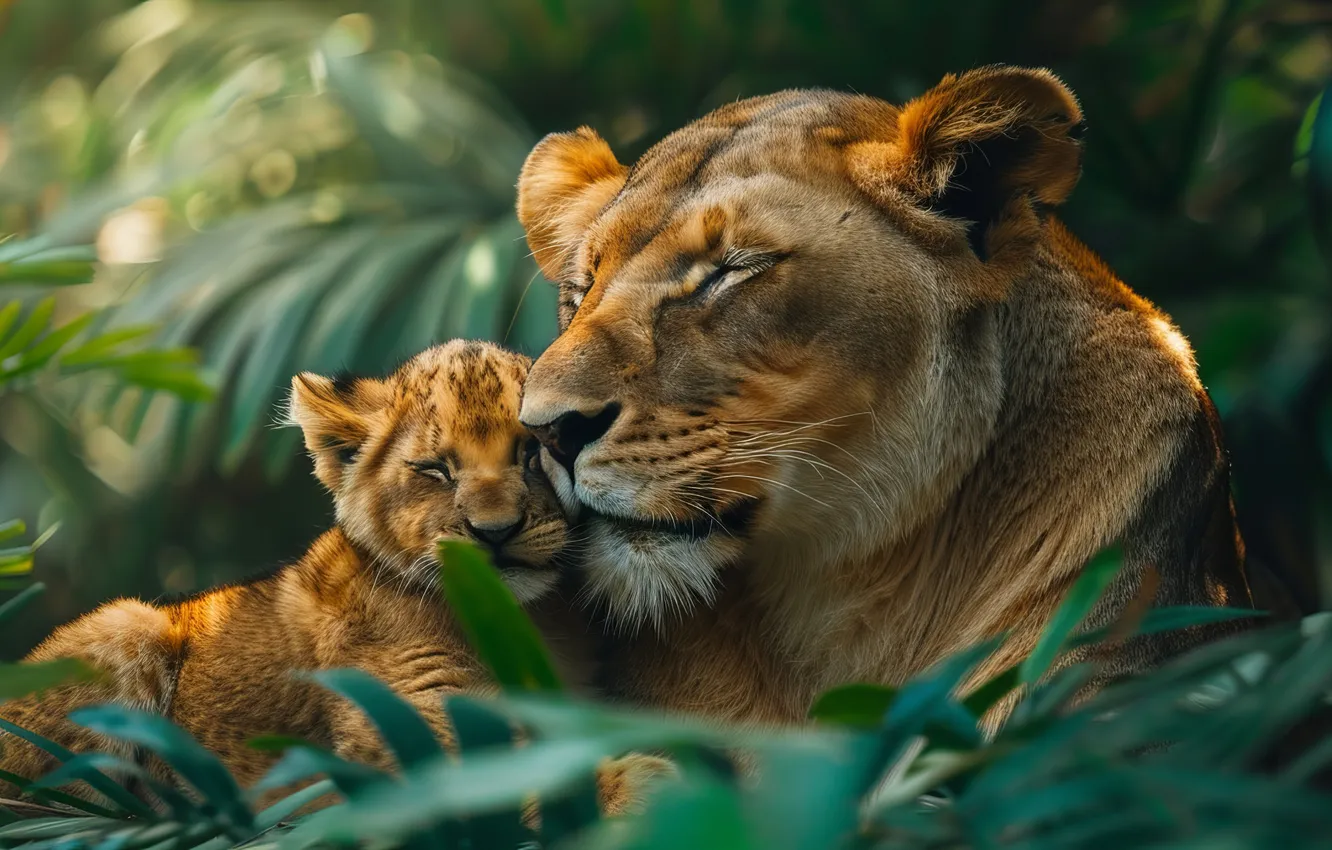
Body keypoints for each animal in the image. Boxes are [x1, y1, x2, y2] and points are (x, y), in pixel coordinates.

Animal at [0, 340, 653, 812]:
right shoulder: (399, 714)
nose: (496, 531)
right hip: (127, 624)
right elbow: (511, 769)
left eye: (530, 453)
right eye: (434, 469)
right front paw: (638, 784)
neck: (524, 617)